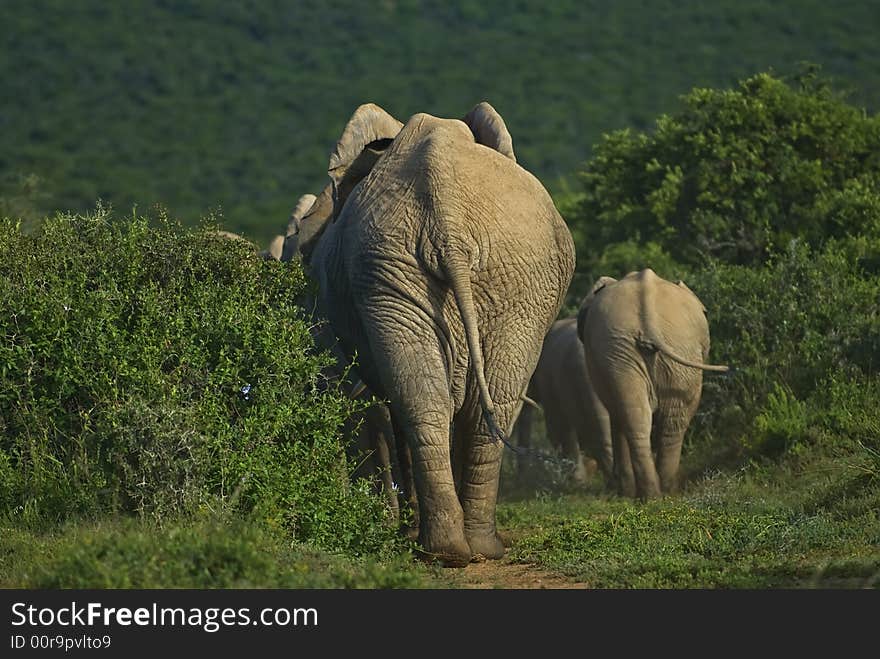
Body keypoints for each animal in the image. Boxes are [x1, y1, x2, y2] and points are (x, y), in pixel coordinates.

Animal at [576, 270, 724, 500]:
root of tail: (649, 321)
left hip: (665, 348)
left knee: (656, 419)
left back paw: (655, 494)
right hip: (633, 350)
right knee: (657, 419)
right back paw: (657, 494)